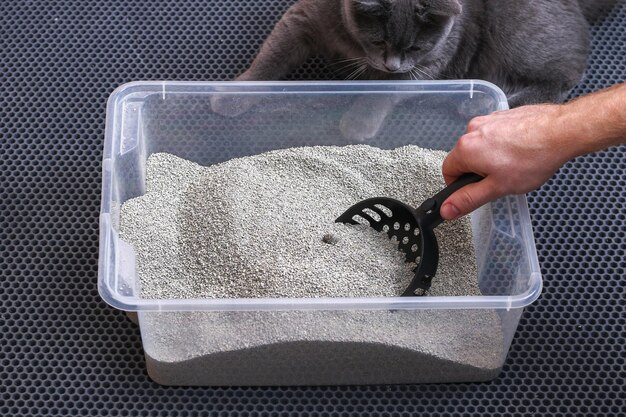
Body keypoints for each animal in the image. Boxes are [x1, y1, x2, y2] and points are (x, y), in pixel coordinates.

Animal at [213, 0, 608, 140]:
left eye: (415, 47)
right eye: (378, 40)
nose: (391, 62)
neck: (354, 46)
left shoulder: (430, 64)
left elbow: (389, 89)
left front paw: (356, 125)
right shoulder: (302, 17)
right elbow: (271, 57)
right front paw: (230, 98)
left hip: (515, 32)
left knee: (561, 83)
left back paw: (476, 104)